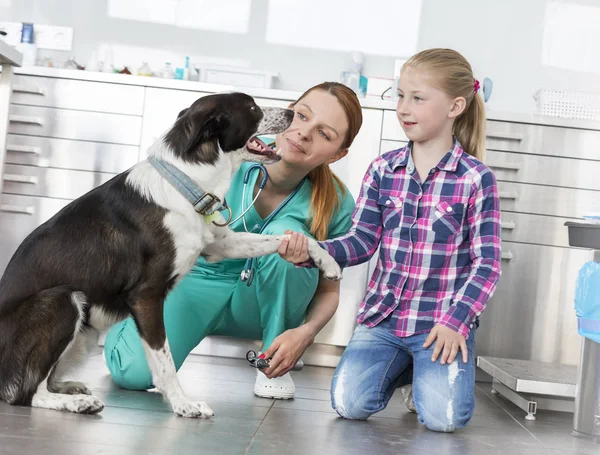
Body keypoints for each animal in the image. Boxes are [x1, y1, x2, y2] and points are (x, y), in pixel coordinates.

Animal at [0, 91, 342, 416]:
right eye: (252, 107)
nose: (293, 112)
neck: (185, 182)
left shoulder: (221, 244)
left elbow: (289, 238)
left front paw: (327, 261)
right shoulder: (146, 296)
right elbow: (165, 361)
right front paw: (183, 405)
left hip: (83, 330)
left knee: (39, 378)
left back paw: (69, 388)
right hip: (64, 300)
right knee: (23, 391)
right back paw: (75, 404)